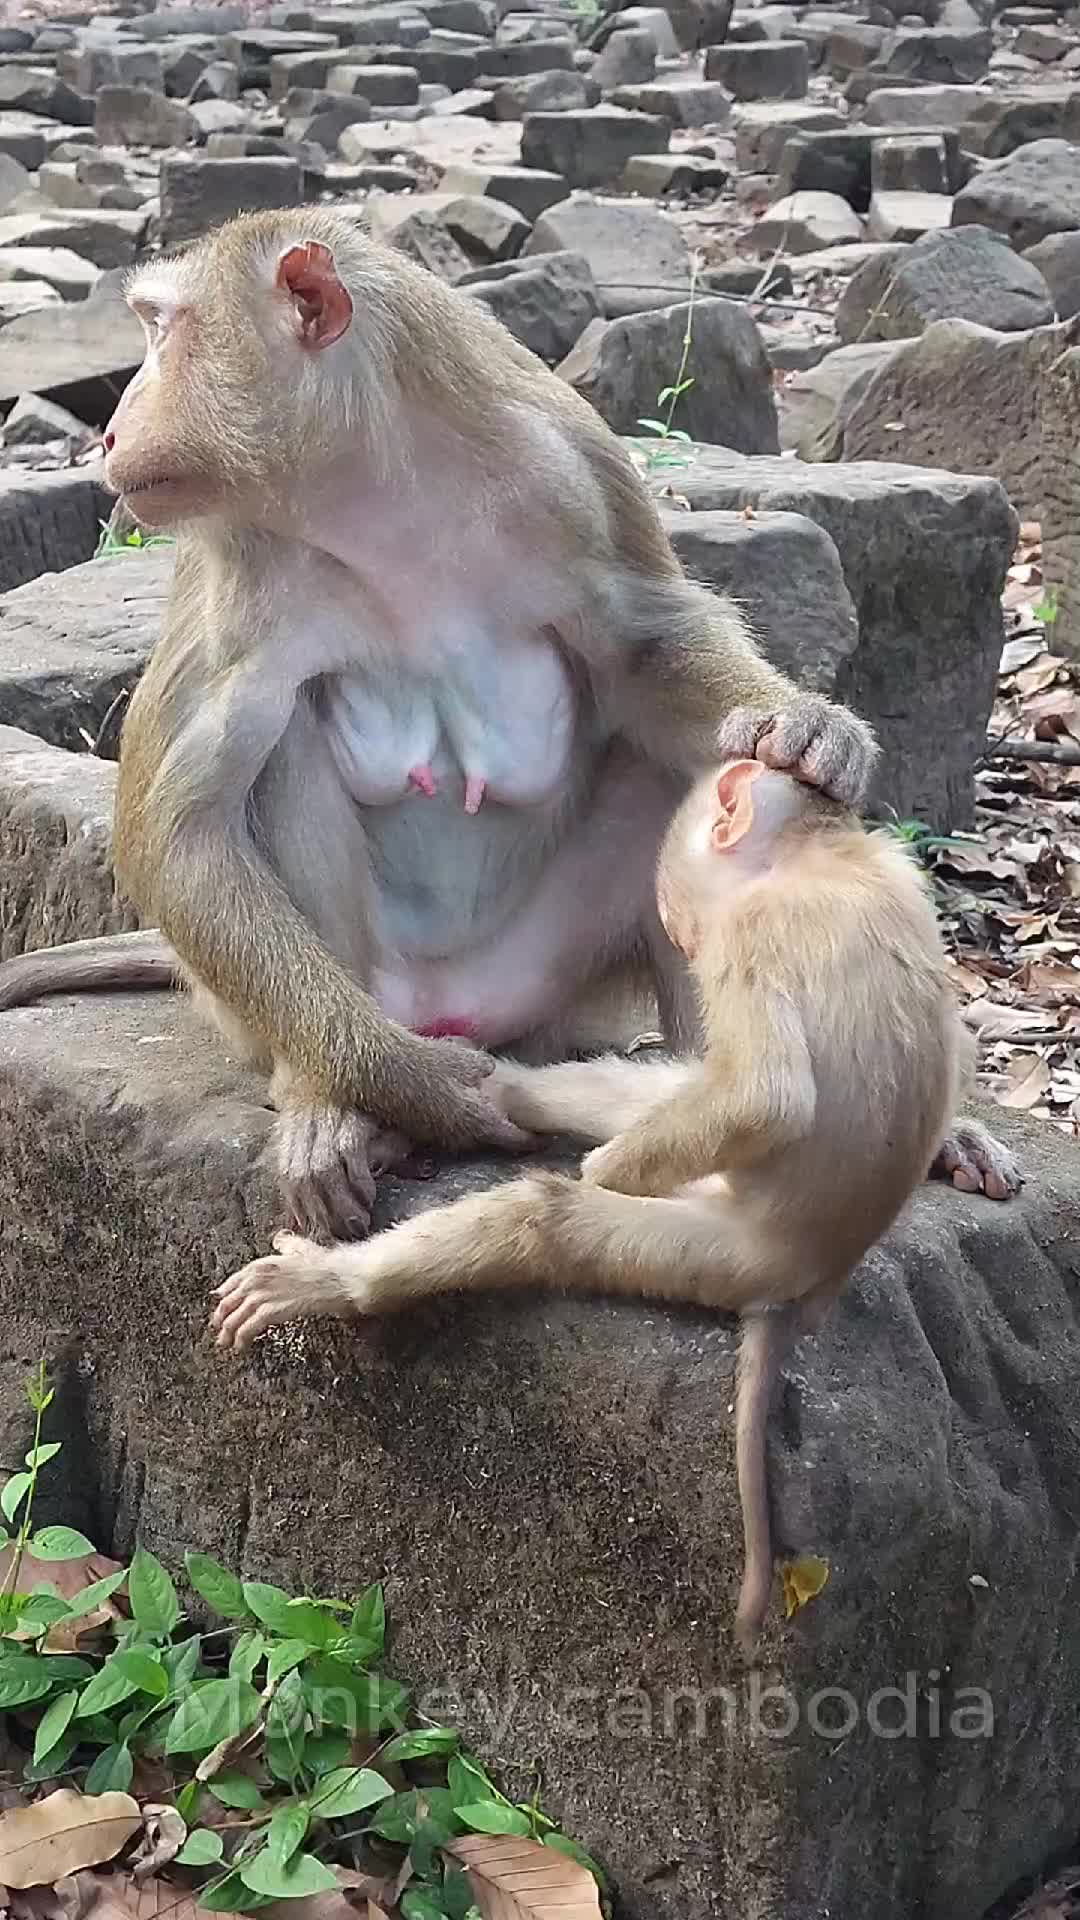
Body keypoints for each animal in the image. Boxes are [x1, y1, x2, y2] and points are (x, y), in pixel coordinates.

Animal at [0, 209, 1016, 1233]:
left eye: (164, 331)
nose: (110, 431)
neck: (374, 492)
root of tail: (462, 1005)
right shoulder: (232, 560)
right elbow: (177, 831)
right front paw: (417, 1087)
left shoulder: (575, 470)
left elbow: (649, 651)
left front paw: (807, 726)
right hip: (327, 999)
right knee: (280, 752)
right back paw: (338, 1104)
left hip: (555, 991)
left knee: (679, 777)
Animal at [211, 756, 1006, 1654]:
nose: (681, 932)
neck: (825, 858)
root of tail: (807, 1286)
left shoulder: (753, 930)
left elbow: (765, 1098)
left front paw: (601, 1168)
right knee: (643, 1092)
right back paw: (475, 1096)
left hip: (712, 1249)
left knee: (549, 1219)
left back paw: (340, 1278)